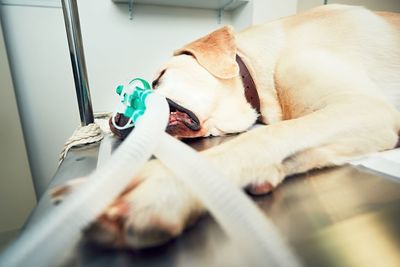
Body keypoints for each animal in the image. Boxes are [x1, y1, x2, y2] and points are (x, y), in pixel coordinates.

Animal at [53, 4, 400, 250]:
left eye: (158, 78)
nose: (115, 121)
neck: (263, 67)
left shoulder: (366, 108)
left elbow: (263, 137)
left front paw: (164, 183)